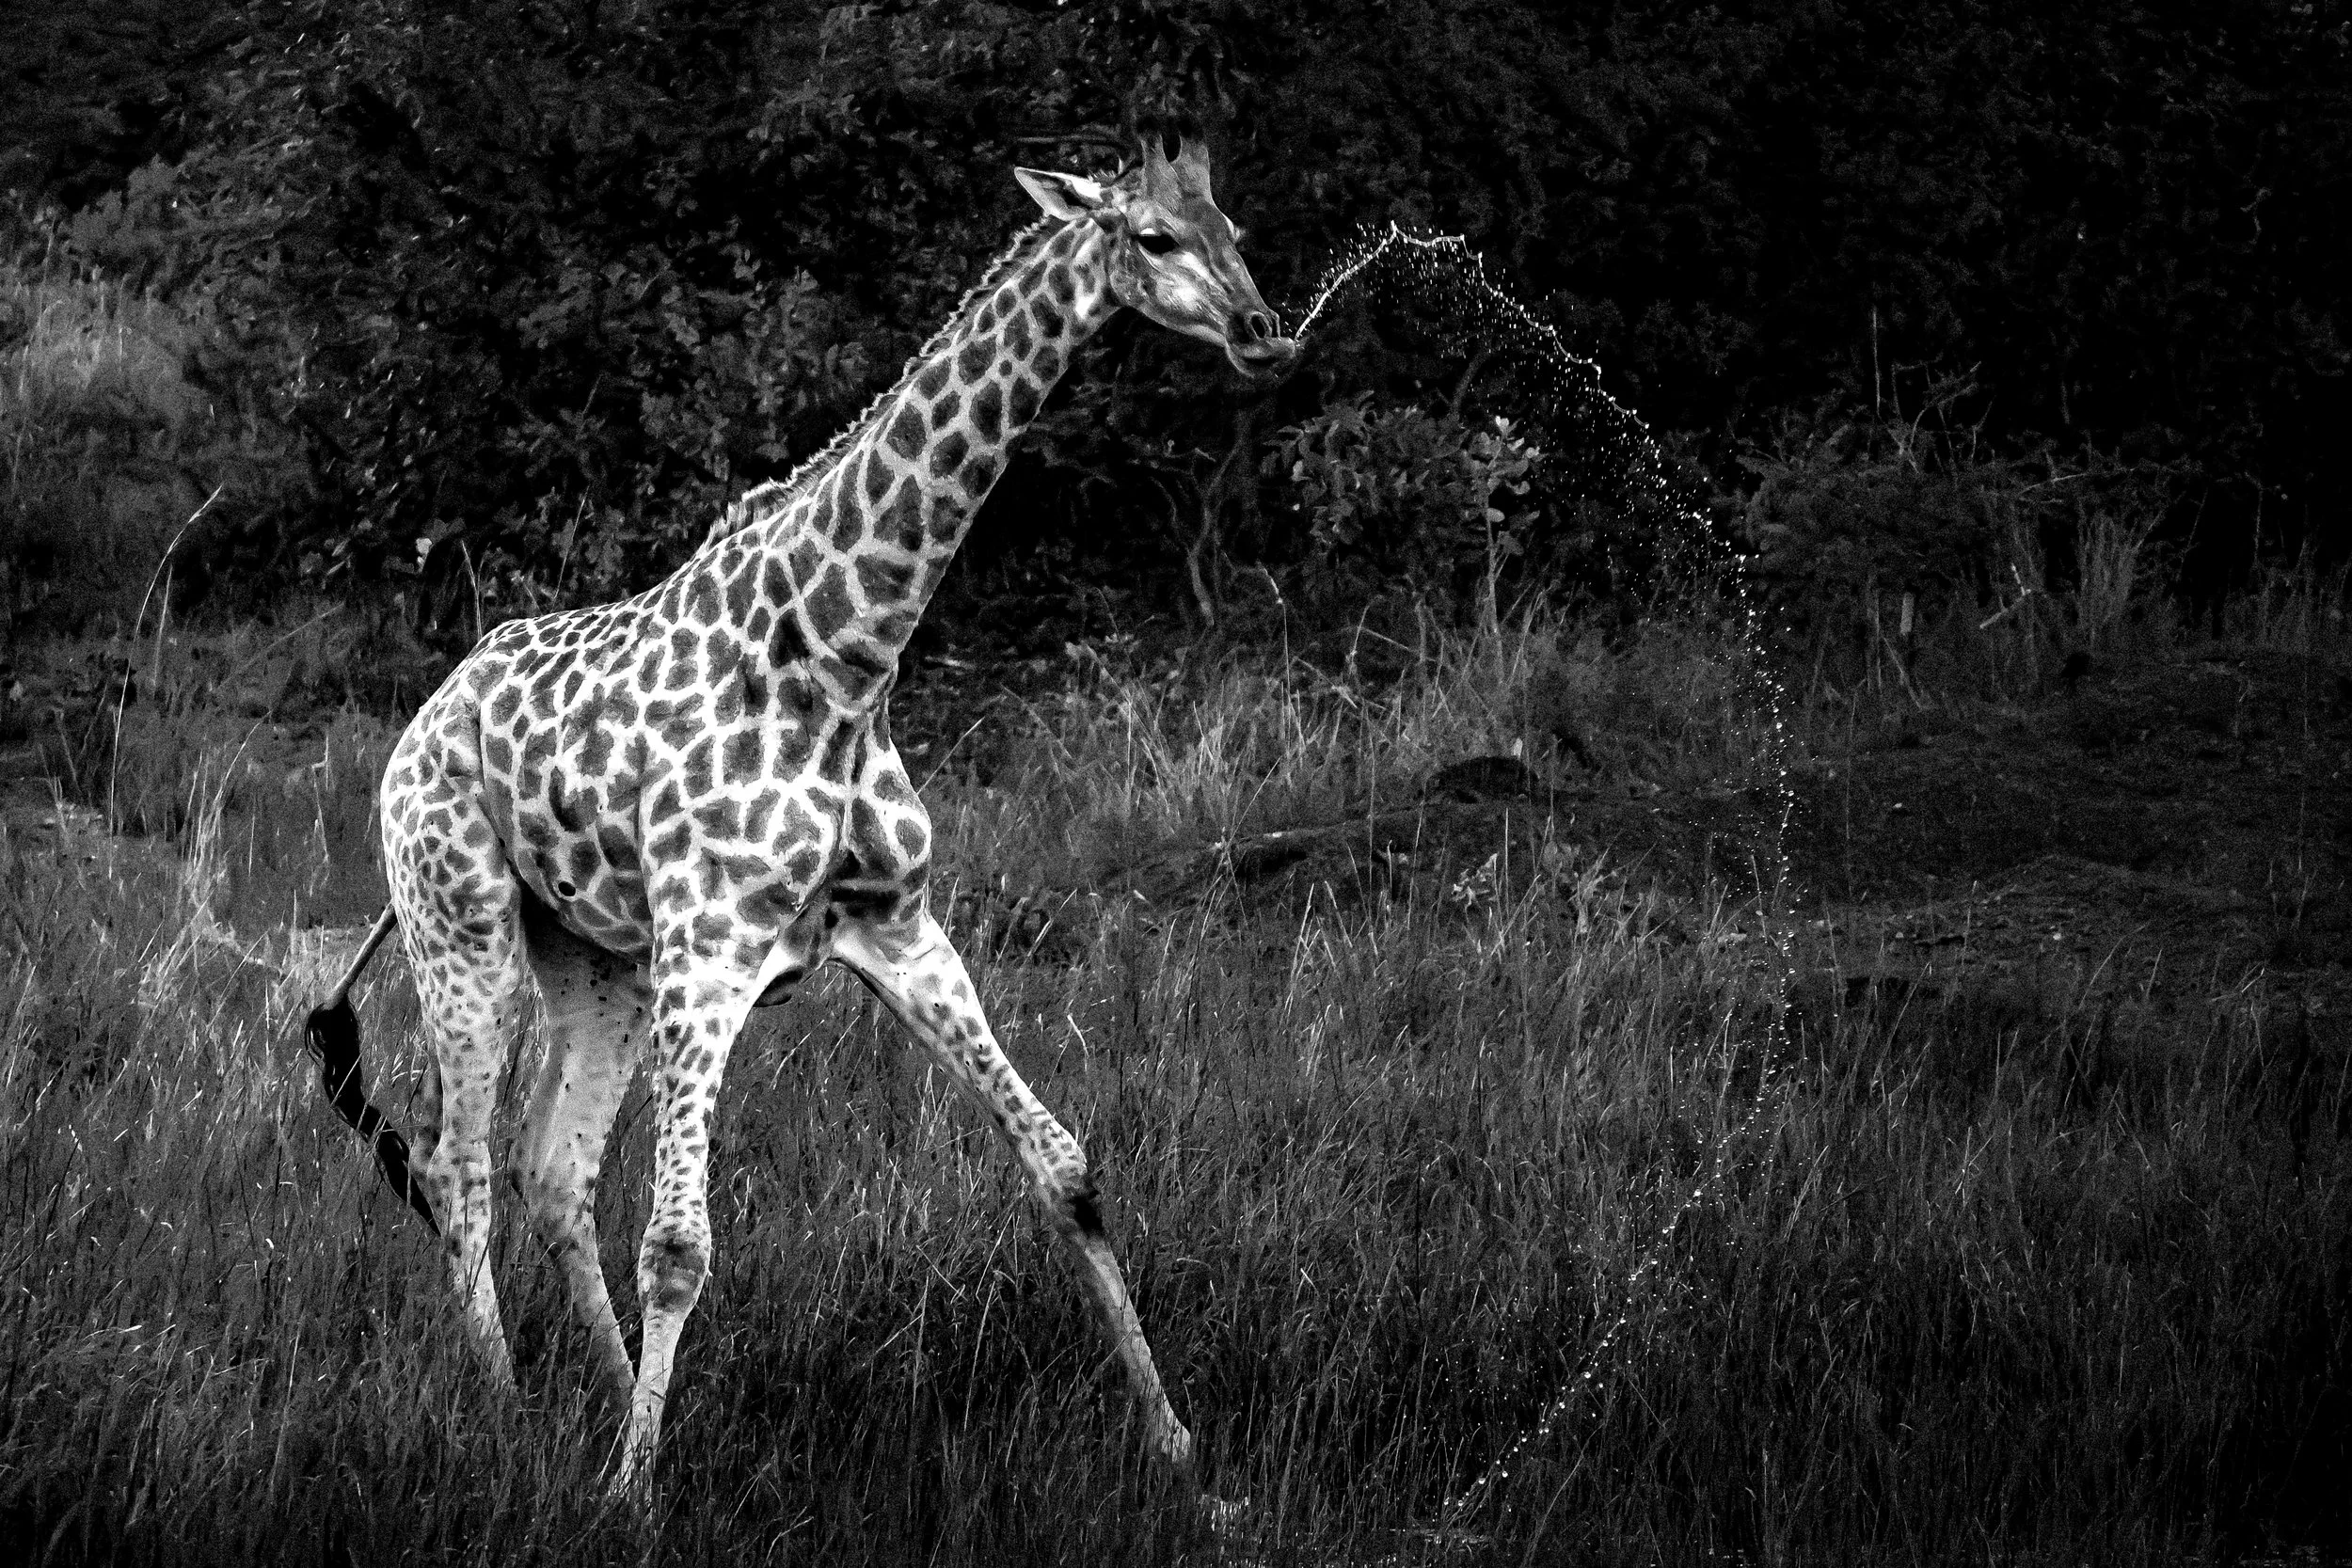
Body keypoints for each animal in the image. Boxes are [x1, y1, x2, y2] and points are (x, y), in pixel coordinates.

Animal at [304, 133, 1293, 1503]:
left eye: (1232, 226)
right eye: (1152, 236)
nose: (1263, 331)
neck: (842, 657)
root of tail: (418, 723)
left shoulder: (904, 932)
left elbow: (1065, 1165)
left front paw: (1182, 1448)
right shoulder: (714, 951)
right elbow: (678, 1242)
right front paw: (631, 1495)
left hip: (598, 963)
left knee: (551, 1169)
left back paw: (610, 1393)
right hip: (468, 932)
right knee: (461, 1169)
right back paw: (507, 1411)